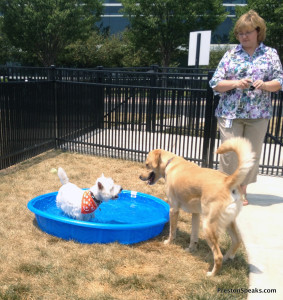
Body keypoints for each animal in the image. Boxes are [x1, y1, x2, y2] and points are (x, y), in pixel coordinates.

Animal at [140, 137, 255, 276]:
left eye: (147, 164)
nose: (140, 176)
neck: (170, 163)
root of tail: (227, 181)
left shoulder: (173, 209)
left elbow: (172, 231)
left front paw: (168, 242)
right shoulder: (195, 214)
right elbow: (193, 236)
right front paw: (191, 249)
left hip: (208, 225)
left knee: (218, 256)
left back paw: (212, 274)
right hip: (229, 222)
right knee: (237, 241)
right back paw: (227, 258)